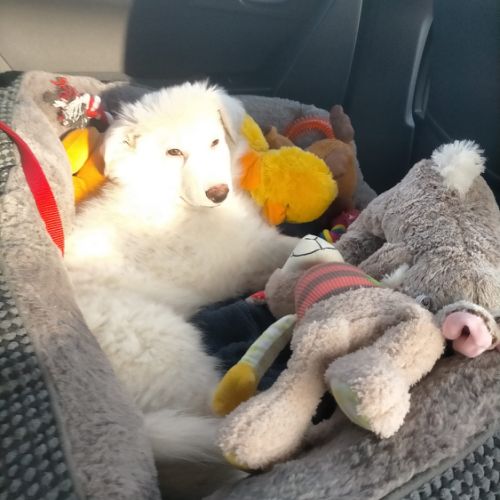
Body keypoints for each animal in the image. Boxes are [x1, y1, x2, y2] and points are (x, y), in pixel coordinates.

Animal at [64, 81, 298, 497]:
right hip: (171, 351)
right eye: (174, 152)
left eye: (215, 142)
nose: (219, 193)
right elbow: (294, 249)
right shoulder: (246, 255)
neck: (170, 198)